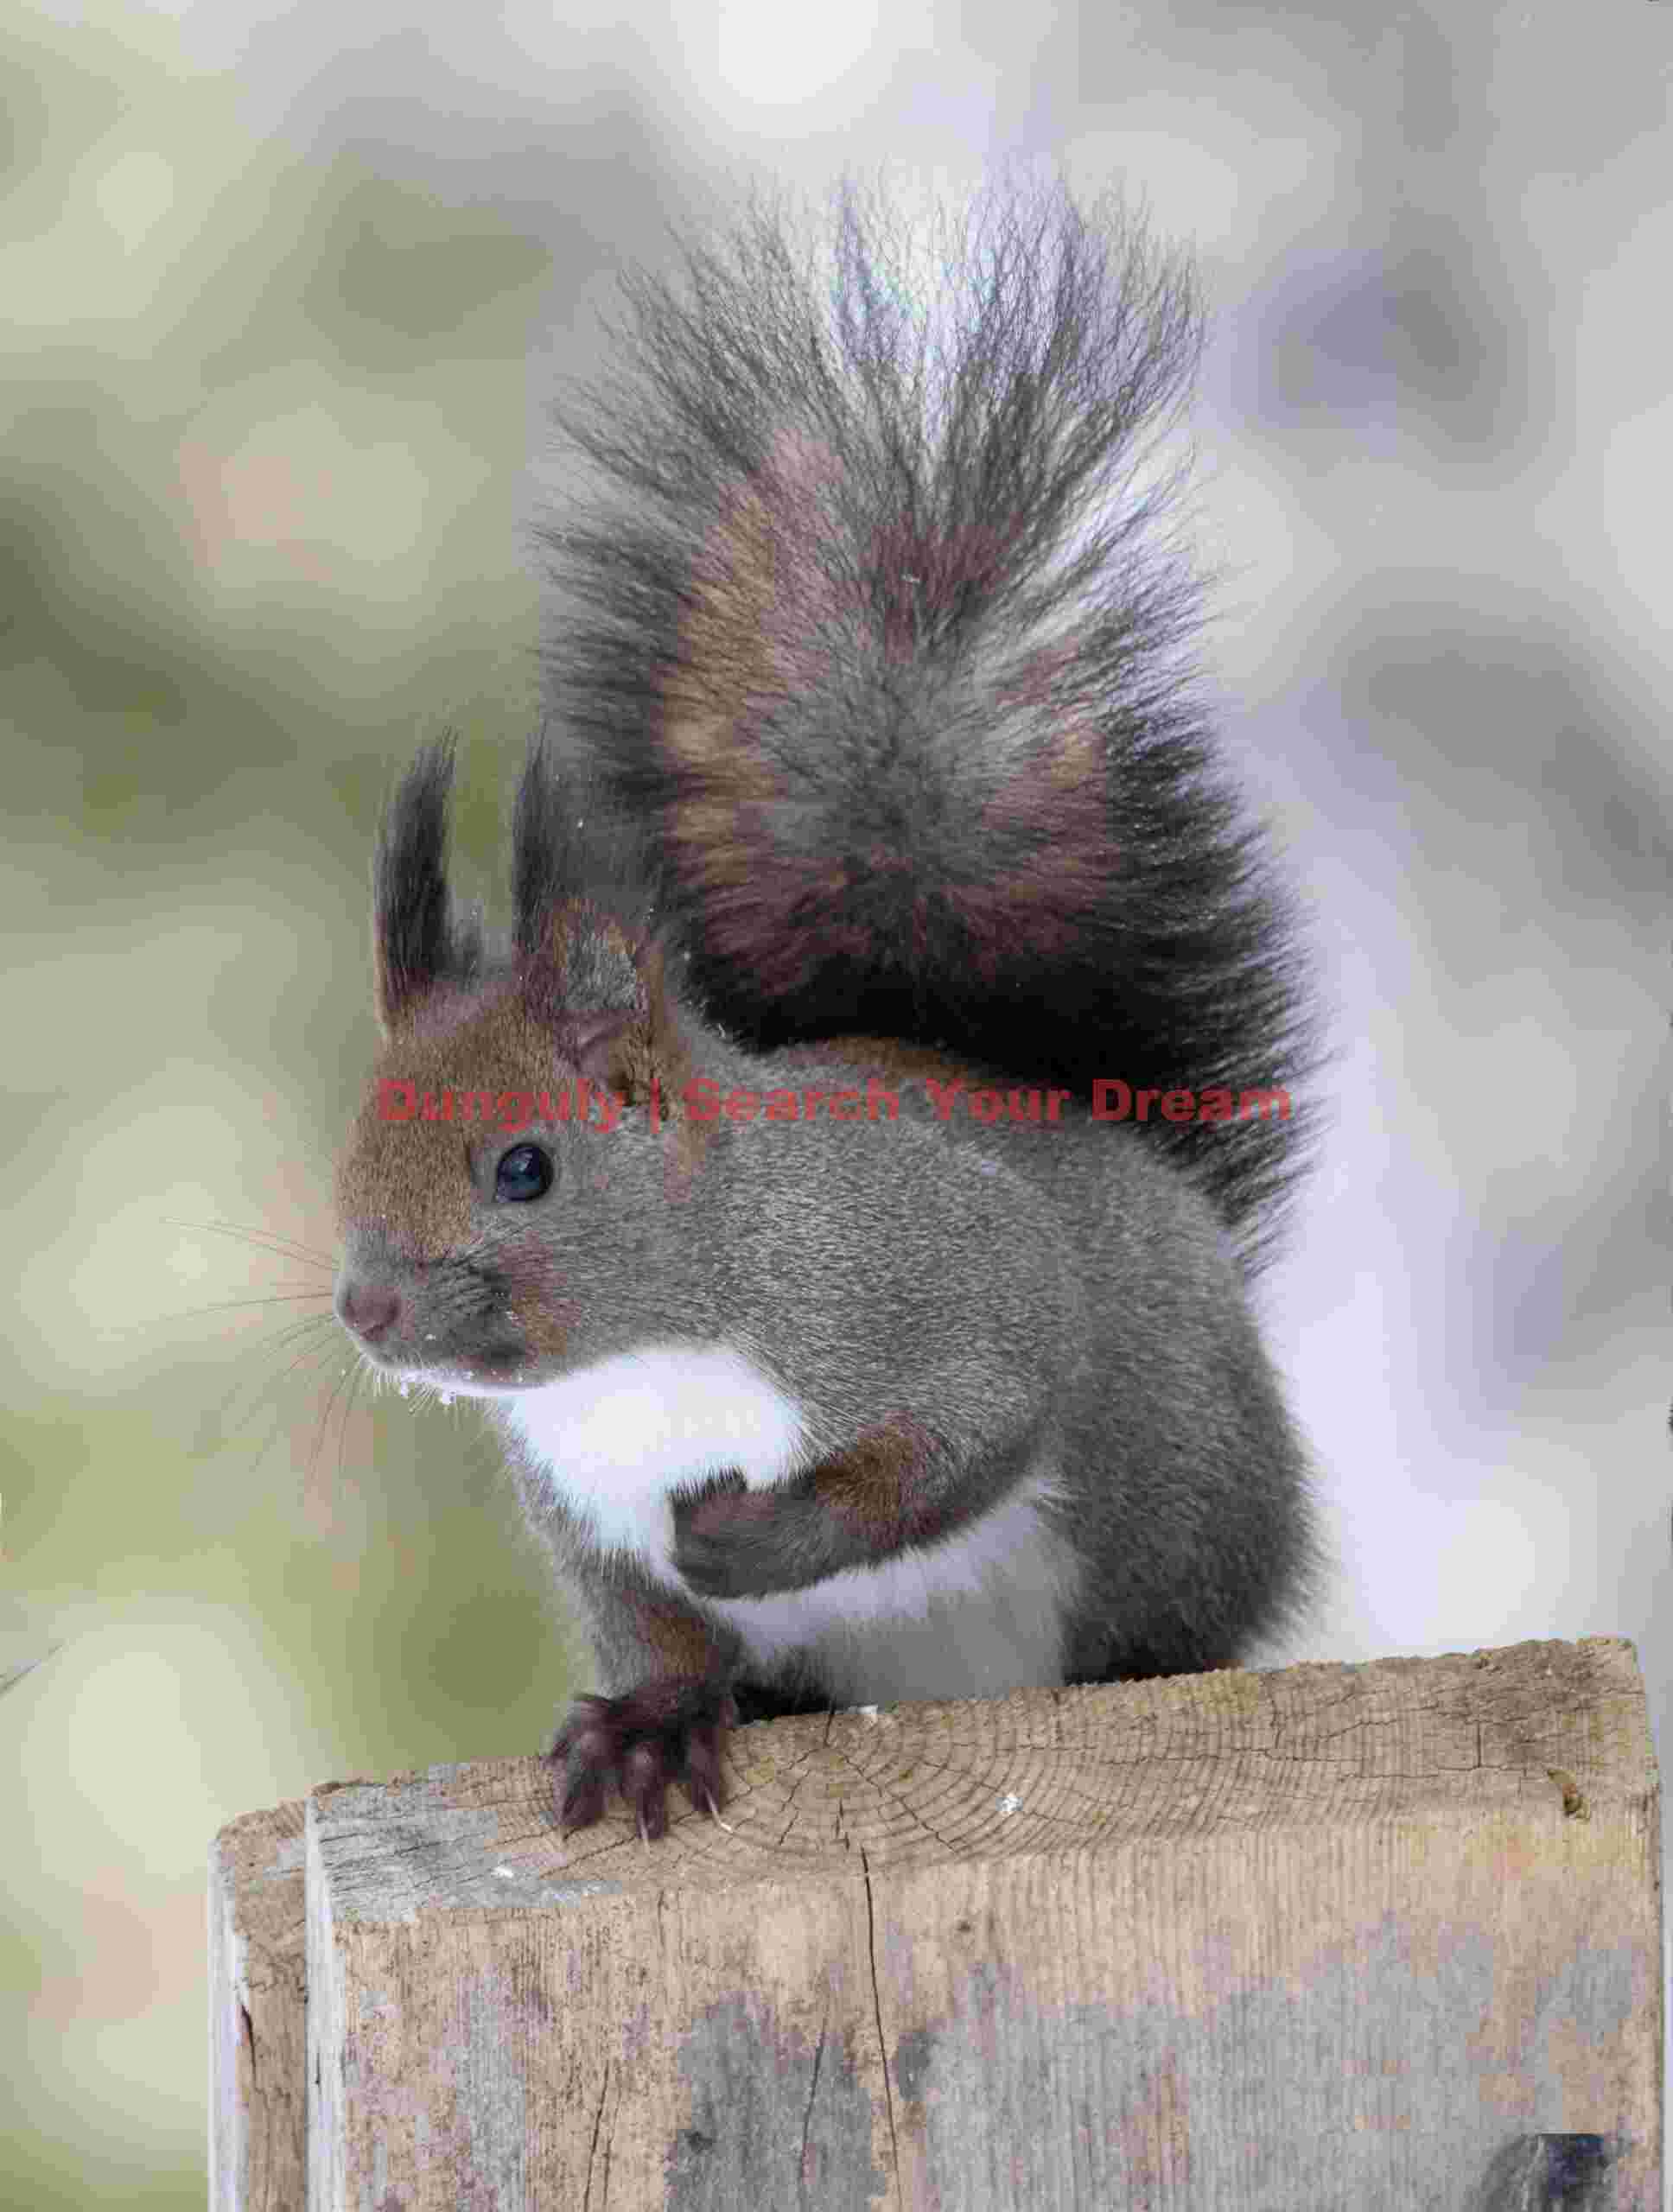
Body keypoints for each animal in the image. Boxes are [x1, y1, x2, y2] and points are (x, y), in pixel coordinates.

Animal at [332, 177, 1327, 1841]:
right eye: (343, 1158)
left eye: (526, 1167)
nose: (368, 1312)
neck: (645, 1353)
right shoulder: (578, 1510)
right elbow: (651, 1626)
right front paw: (654, 1726)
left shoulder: (930, 1281)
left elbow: (974, 1427)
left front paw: (755, 1541)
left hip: (1177, 1505)